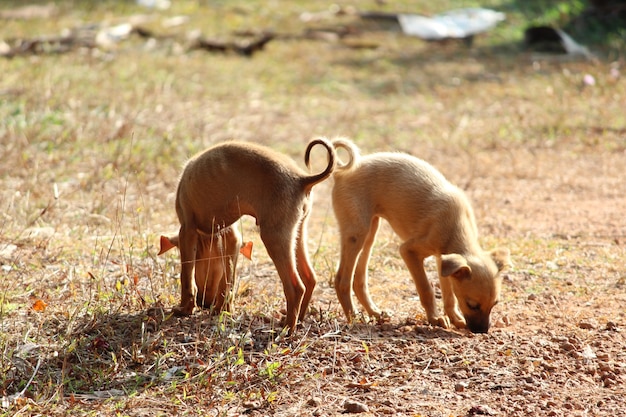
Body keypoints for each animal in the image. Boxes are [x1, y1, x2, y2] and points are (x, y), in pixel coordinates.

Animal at [171, 138, 336, 334]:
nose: (204, 303)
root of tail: (301, 179)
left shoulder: (187, 230)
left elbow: (186, 276)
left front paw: (185, 309)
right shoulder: (232, 238)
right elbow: (228, 279)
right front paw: (222, 310)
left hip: (274, 237)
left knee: (296, 287)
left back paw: (287, 328)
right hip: (296, 233)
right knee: (310, 278)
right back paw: (298, 320)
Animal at [326, 138, 508, 334]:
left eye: (495, 304)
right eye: (472, 305)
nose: (482, 331)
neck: (456, 225)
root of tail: (340, 172)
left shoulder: (442, 258)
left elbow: (449, 294)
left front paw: (454, 318)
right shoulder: (409, 251)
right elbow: (426, 288)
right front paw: (435, 318)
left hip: (370, 231)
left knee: (359, 280)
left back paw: (375, 313)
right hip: (356, 232)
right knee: (342, 280)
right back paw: (354, 317)